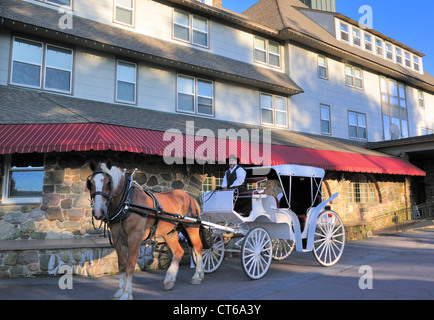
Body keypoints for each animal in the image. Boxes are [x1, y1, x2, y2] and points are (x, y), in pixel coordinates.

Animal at [87, 161, 205, 298]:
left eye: (108, 182)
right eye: (90, 183)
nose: (98, 212)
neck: (127, 203)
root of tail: (190, 197)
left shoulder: (134, 238)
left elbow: (130, 266)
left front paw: (127, 294)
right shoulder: (119, 239)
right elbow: (121, 265)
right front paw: (120, 290)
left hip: (191, 228)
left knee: (198, 248)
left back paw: (197, 276)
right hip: (170, 232)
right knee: (178, 252)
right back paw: (169, 280)